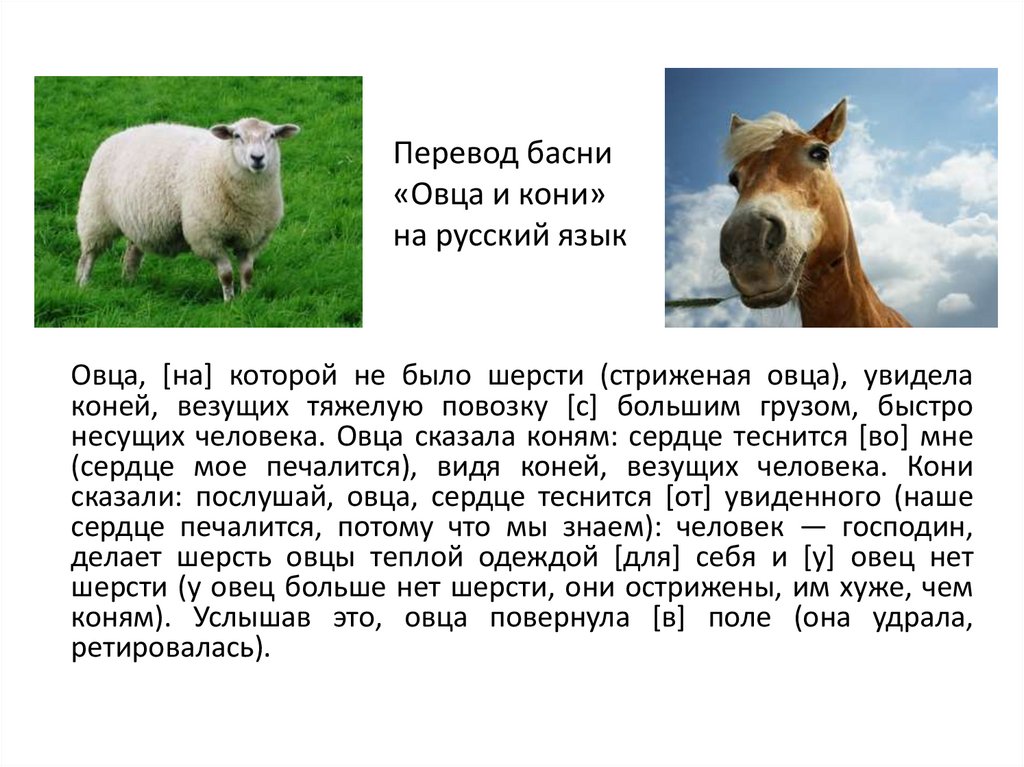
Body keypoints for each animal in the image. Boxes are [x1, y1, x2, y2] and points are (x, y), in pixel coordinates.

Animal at [75, 117, 300, 301]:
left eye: (272, 136)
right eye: (237, 136)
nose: (257, 158)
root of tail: (118, 134)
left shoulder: (251, 239)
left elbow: (247, 273)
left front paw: (247, 298)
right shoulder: (206, 236)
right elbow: (226, 275)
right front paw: (229, 302)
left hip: (138, 222)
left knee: (132, 254)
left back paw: (129, 283)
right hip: (95, 215)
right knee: (88, 255)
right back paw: (83, 285)